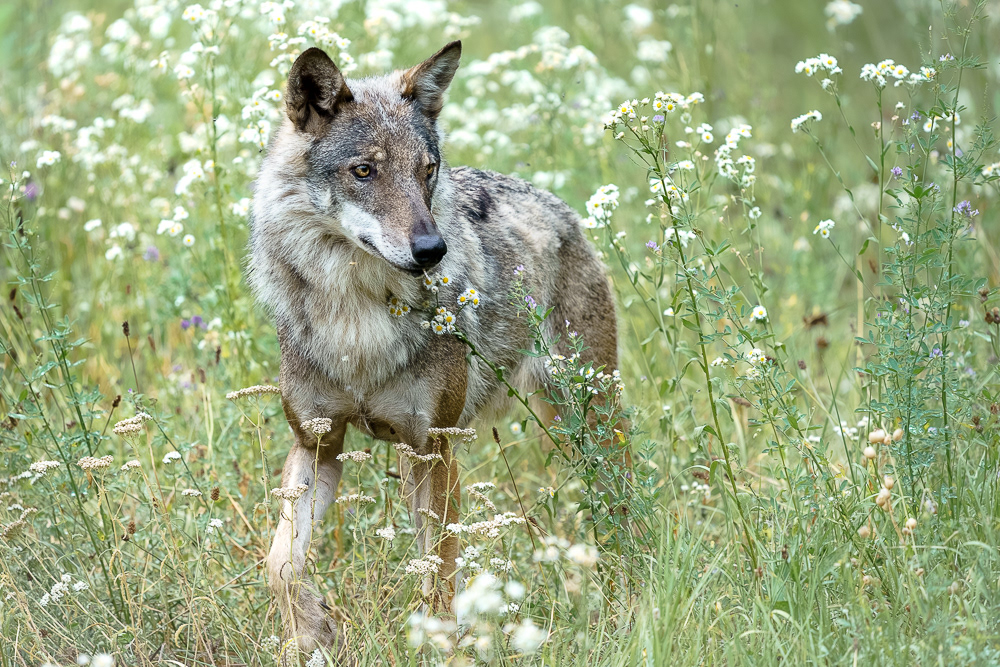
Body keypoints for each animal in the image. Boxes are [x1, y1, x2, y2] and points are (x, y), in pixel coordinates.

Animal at [248, 40, 618, 656]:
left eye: (426, 172)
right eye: (365, 171)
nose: (432, 250)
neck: (358, 321)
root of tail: (558, 206)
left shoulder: (432, 448)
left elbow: (439, 576)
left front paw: (439, 645)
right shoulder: (317, 444)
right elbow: (279, 564)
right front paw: (313, 633)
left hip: (588, 421)